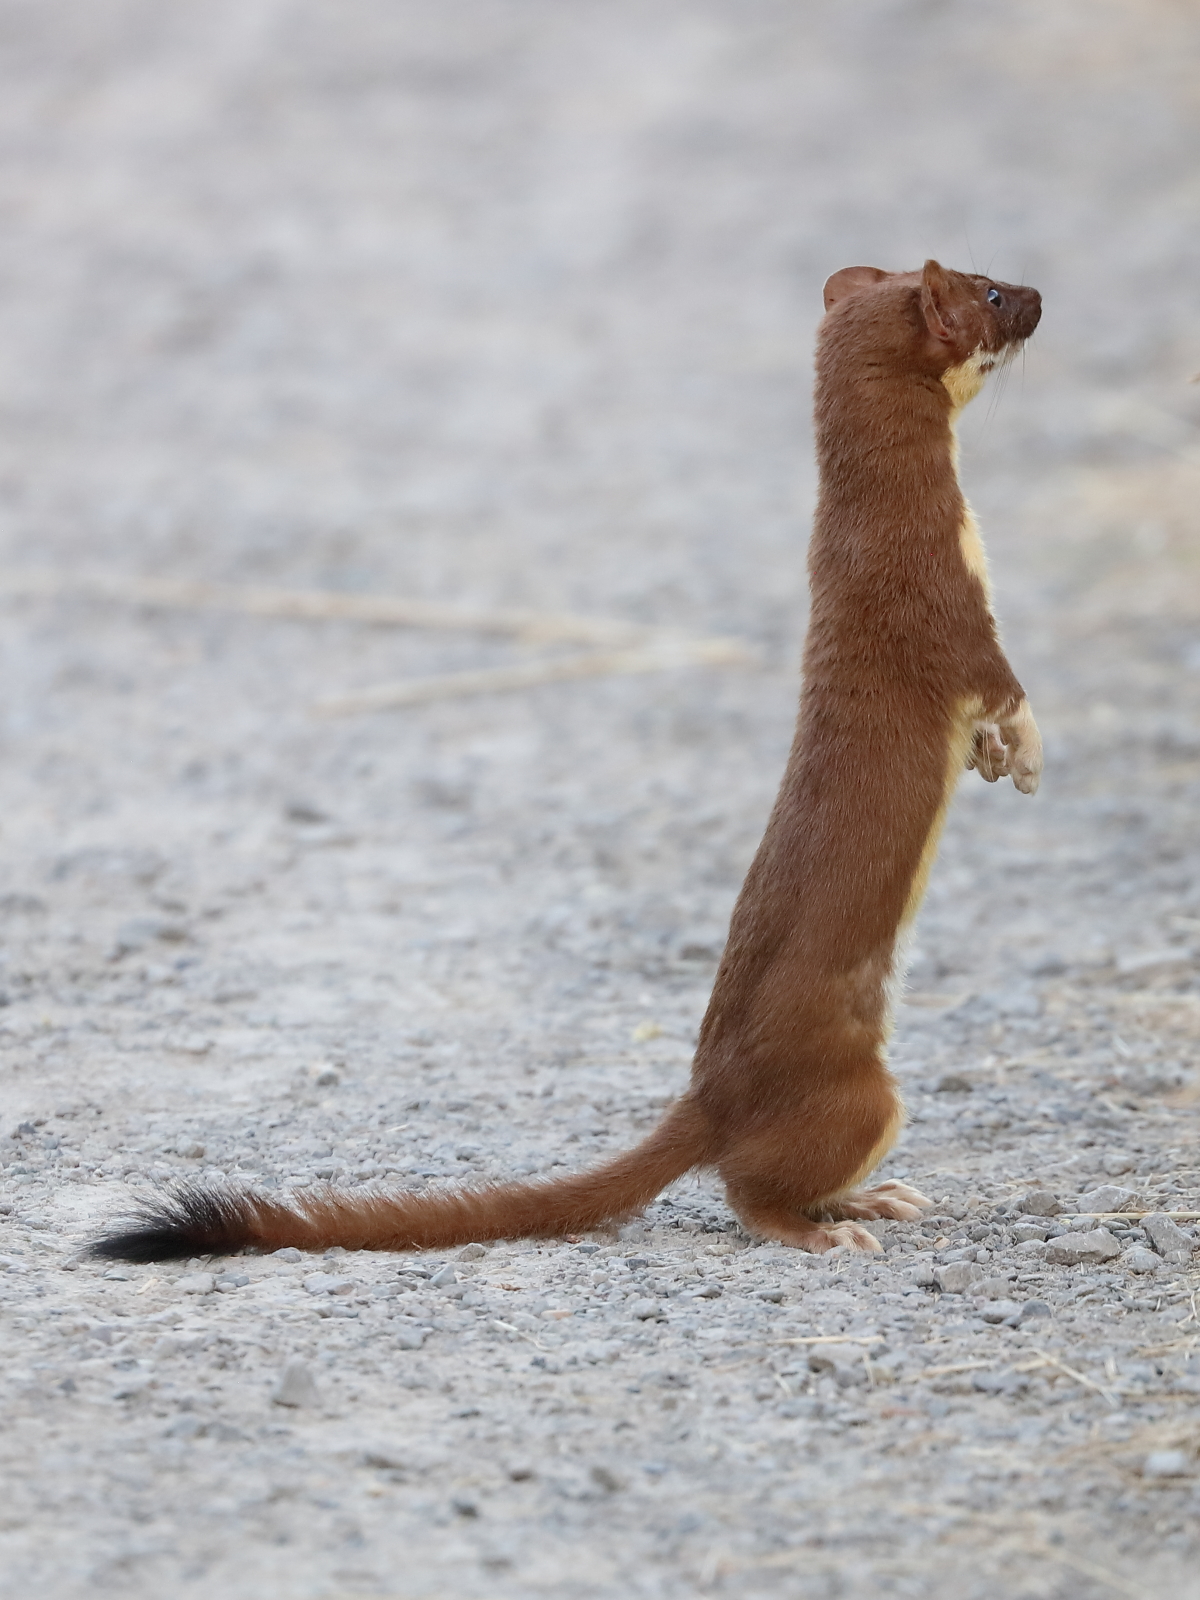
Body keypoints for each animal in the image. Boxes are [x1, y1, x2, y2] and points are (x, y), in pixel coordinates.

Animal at [91, 259, 1043, 1260]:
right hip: (865, 1090)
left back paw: (873, 1199)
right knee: (752, 1185)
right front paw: (1025, 755)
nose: (1042, 296)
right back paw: (835, 1227)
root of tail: (707, 1096)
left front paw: (990, 759)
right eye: (989, 292)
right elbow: (1000, 681)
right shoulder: (940, 600)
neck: (908, 520)